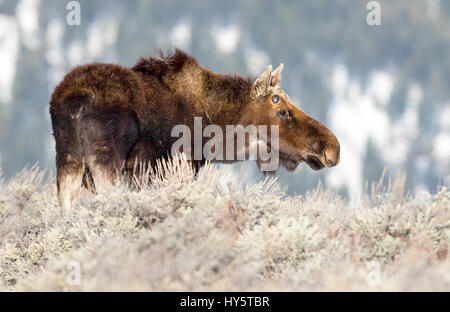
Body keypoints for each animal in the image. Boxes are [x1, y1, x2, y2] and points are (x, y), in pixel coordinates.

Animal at [49, 48, 340, 213]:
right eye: (282, 111)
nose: (332, 147)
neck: (217, 131)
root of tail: (74, 102)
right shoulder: (180, 166)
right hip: (106, 164)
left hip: (69, 162)